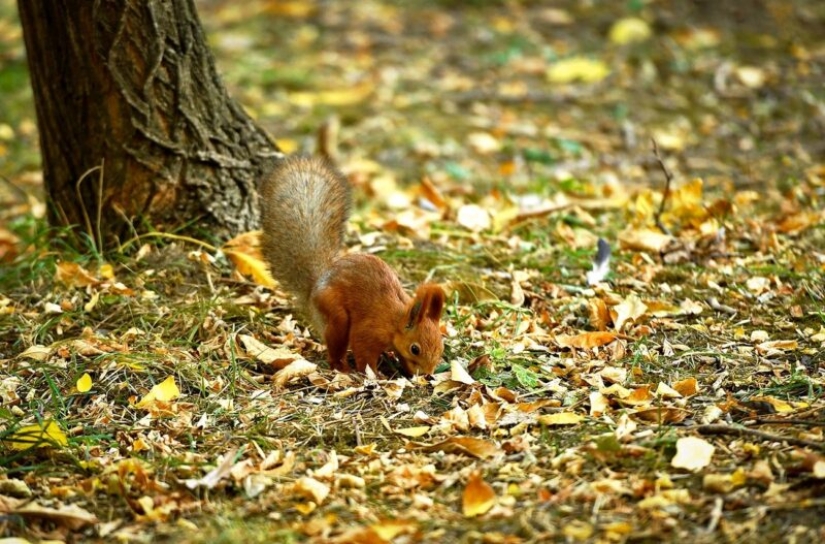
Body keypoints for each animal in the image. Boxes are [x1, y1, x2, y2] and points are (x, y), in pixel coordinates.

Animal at [262, 155, 444, 376]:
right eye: (415, 349)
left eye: (441, 346)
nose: (427, 374)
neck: (395, 321)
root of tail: (315, 288)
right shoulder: (370, 330)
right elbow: (363, 350)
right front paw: (375, 374)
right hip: (335, 312)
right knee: (335, 341)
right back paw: (341, 367)